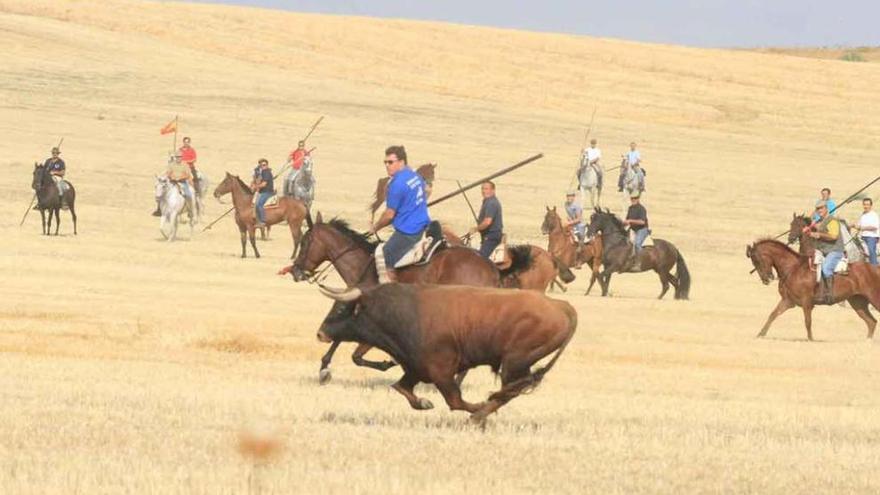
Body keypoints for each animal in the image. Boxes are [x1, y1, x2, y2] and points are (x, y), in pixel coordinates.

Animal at [278, 212, 524, 384]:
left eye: (305, 243)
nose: (296, 271)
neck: (364, 264)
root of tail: (492, 268)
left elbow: (356, 353)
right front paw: (324, 368)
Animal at [316, 282, 576, 422]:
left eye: (340, 309)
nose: (320, 334)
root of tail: (559, 305)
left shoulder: (441, 372)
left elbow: (455, 400)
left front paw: (476, 409)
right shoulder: (415, 368)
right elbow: (401, 387)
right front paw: (423, 403)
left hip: (514, 361)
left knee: (509, 391)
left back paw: (479, 416)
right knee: (510, 391)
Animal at [744, 239, 880, 340]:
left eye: (756, 260)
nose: (766, 279)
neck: (793, 268)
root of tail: (874, 268)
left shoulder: (806, 302)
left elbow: (807, 321)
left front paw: (810, 339)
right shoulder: (788, 301)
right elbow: (773, 315)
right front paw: (761, 334)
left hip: (873, 298)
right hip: (858, 302)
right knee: (871, 322)